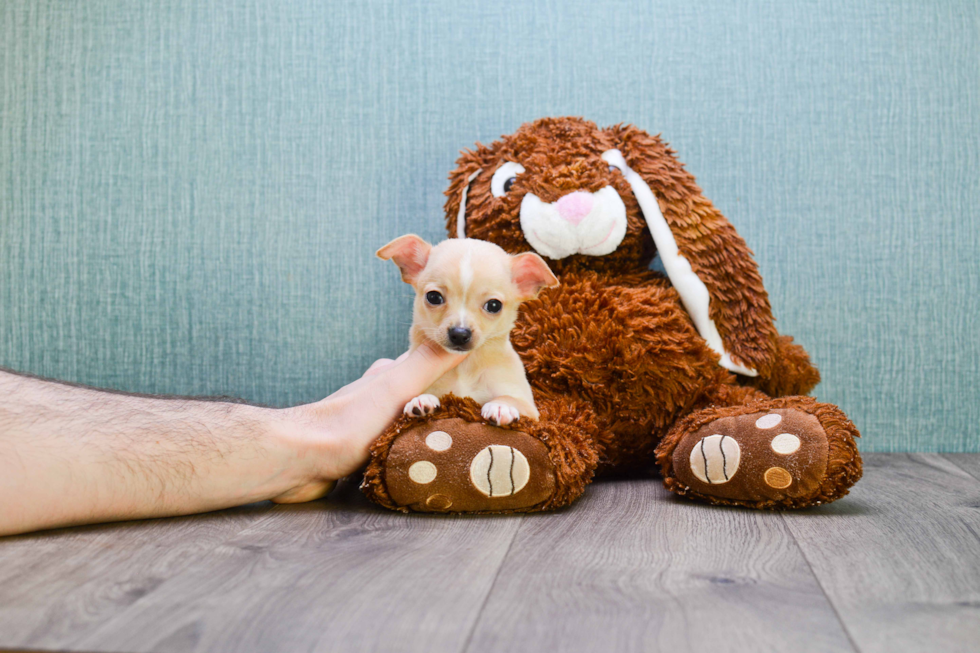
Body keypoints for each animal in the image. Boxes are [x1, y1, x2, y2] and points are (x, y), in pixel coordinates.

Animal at [378, 237, 556, 426]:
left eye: (494, 305)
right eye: (433, 297)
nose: (459, 333)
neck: (464, 367)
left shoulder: (530, 409)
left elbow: (510, 398)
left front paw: (501, 406)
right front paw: (420, 400)